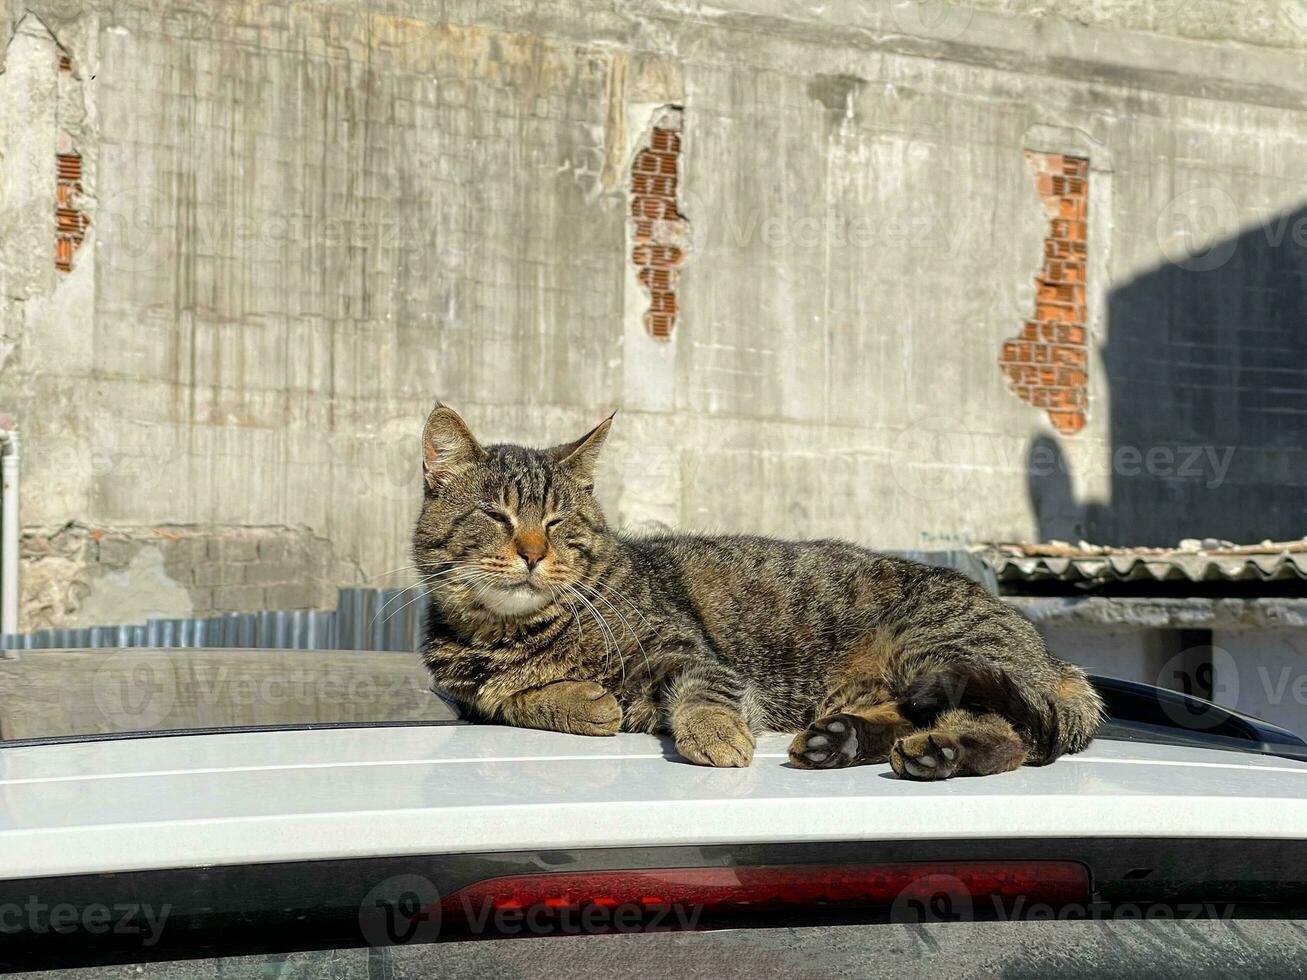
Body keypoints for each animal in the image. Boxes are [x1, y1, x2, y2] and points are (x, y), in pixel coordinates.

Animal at [410, 402, 1103, 778]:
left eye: (557, 522)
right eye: (497, 517)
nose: (532, 553)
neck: (516, 633)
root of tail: (1053, 658)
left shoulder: (686, 650)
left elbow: (705, 692)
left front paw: (714, 734)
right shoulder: (467, 693)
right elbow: (505, 698)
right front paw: (581, 701)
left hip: (935, 645)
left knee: (1013, 731)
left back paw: (941, 752)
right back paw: (840, 740)